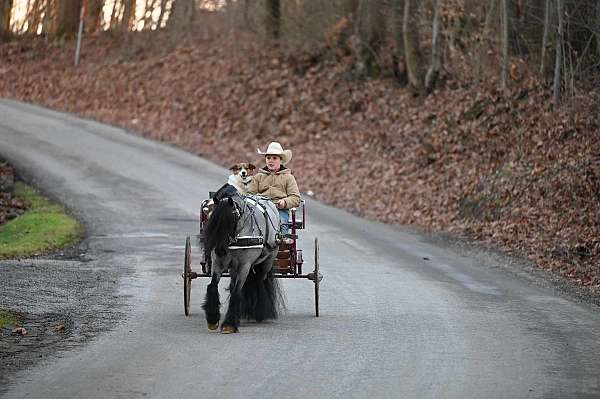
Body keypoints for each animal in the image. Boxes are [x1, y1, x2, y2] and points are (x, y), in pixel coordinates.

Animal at [203, 184, 284, 334]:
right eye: (213, 220)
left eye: (230, 220)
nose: (220, 250)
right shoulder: (218, 263)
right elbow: (212, 286)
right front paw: (212, 319)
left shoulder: (245, 266)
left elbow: (236, 292)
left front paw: (229, 324)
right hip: (233, 267)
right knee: (234, 283)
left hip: (267, 261)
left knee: (259, 281)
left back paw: (259, 312)